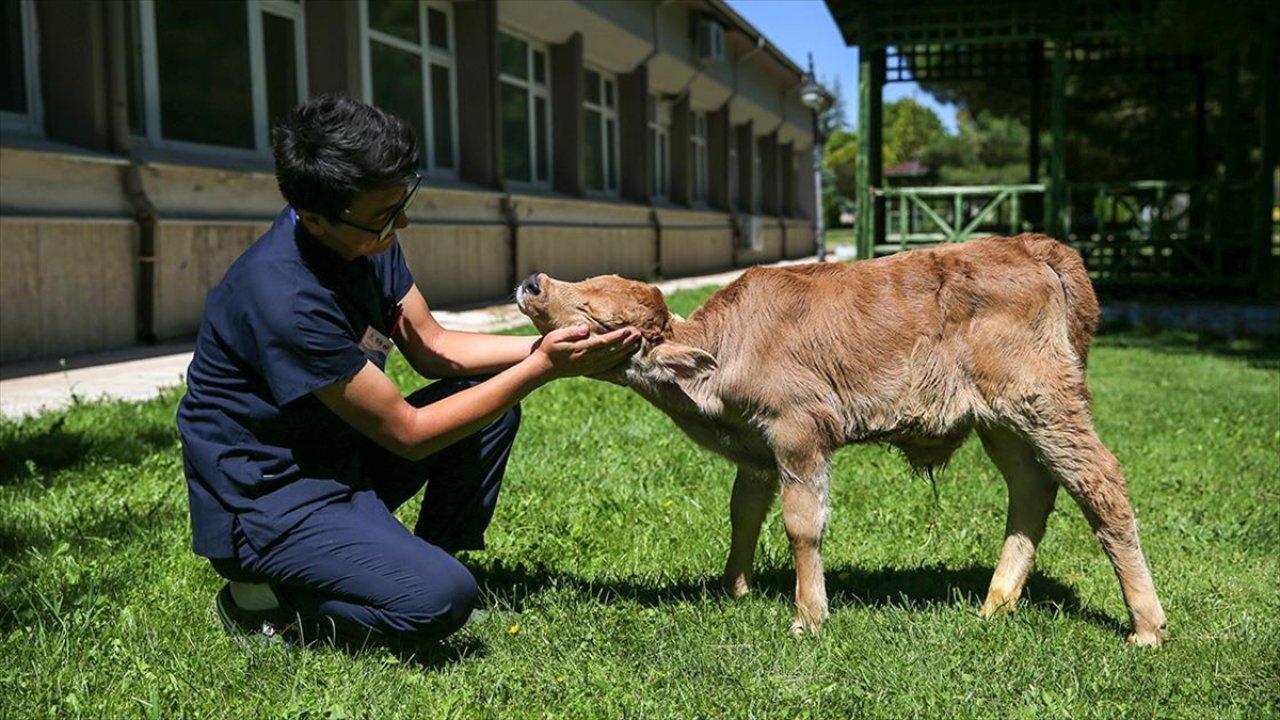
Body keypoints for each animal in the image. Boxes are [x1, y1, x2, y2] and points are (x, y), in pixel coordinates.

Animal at [514, 233, 1167, 640]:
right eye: (585, 282)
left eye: (596, 315)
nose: (532, 282)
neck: (724, 349)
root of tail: (1030, 245)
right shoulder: (756, 450)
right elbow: (744, 511)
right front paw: (735, 589)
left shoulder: (798, 432)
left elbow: (801, 523)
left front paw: (808, 615)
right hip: (1000, 420)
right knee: (1032, 489)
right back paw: (994, 604)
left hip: (1043, 402)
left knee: (1099, 483)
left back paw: (1145, 626)